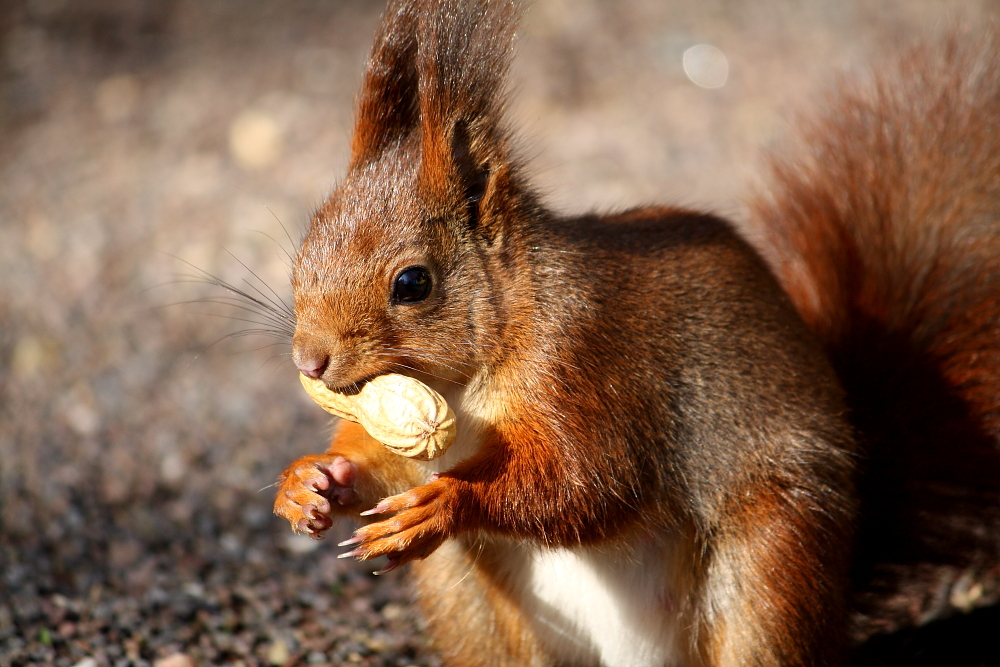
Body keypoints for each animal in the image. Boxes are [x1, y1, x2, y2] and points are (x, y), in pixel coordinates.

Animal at [270, 1, 996, 667]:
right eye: (303, 251)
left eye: (413, 283)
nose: (309, 360)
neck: (463, 382)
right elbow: (379, 456)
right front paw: (309, 480)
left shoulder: (586, 362)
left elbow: (589, 481)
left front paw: (449, 500)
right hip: (469, 605)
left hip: (770, 566)